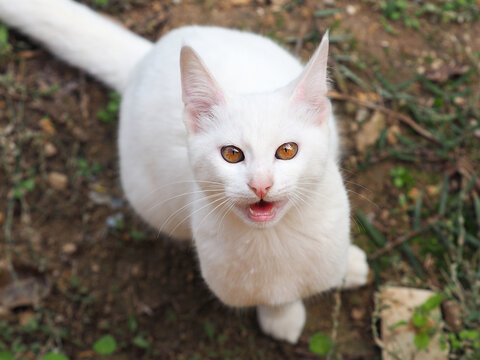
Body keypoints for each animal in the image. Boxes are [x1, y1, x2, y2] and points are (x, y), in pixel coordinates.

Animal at [0, 0, 370, 344]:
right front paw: (282, 318)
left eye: (287, 151)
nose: (260, 185)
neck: (277, 237)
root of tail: (147, 56)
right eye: (231, 154)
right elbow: (277, 299)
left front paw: (344, 265)